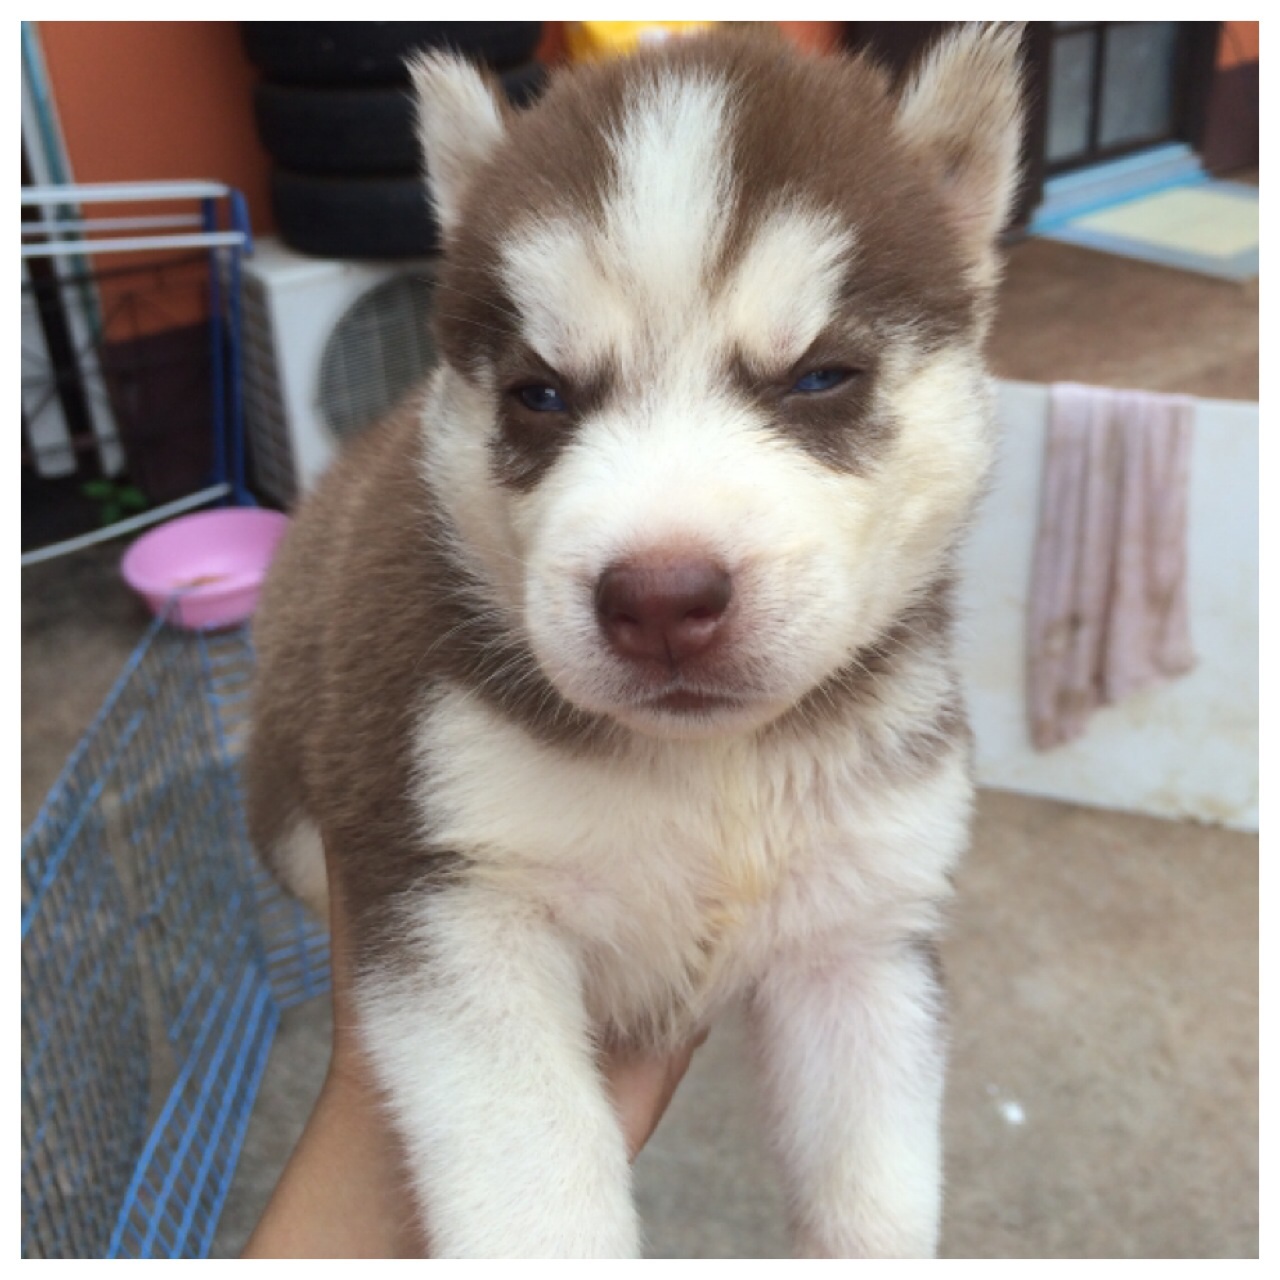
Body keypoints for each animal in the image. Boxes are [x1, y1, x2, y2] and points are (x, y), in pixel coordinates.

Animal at [246, 24, 1024, 1257]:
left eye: (820, 375)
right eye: (539, 394)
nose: (658, 597)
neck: (717, 769)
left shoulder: (863, 932)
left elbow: (875, 1204)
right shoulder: (452, 895)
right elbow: (540, 1190)